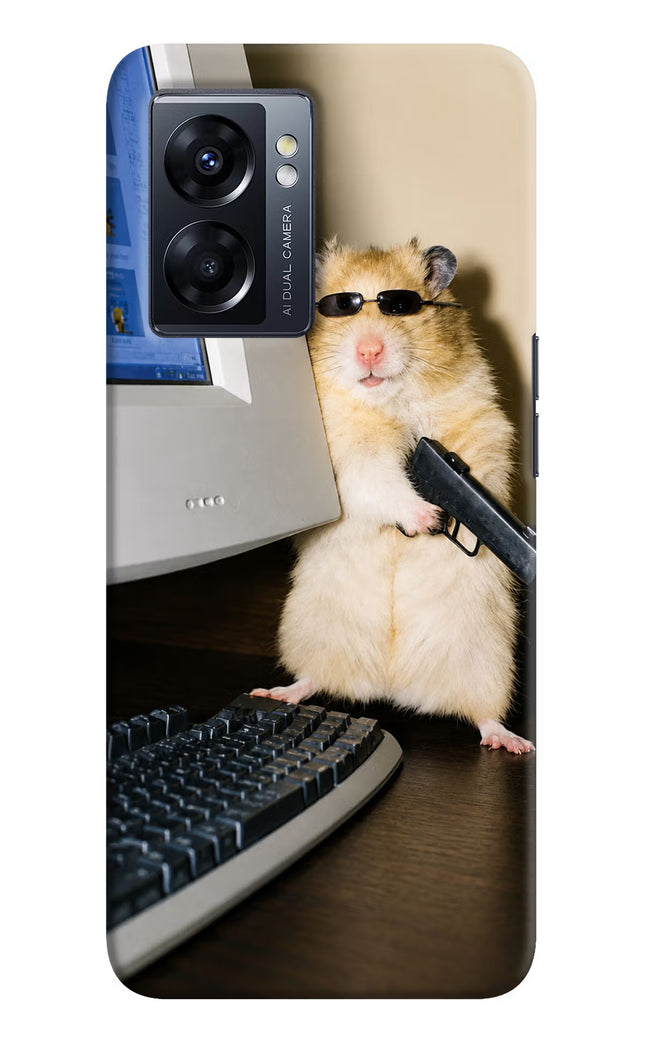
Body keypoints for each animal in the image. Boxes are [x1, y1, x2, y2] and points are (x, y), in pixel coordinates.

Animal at [252, 238, 534, 754]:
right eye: (338, 308)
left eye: (401, 306)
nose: (369, 350)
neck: (390, 400)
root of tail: (392, 686)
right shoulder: (348, 458)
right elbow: (380, 481)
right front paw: (428, 518)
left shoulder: (481, 425)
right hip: (311, 632)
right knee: (313, 679)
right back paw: (276, 692)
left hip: (488, 661)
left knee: (483, 714)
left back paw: (512, 742)